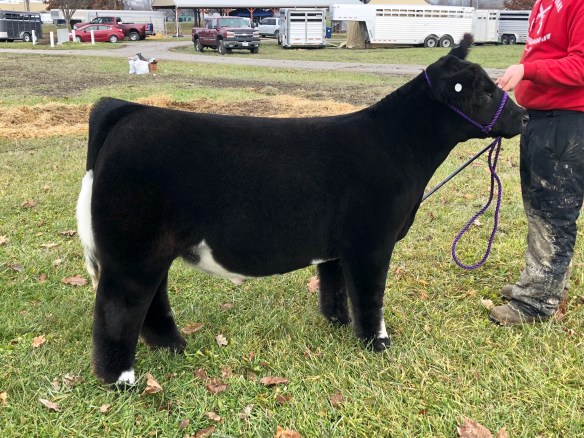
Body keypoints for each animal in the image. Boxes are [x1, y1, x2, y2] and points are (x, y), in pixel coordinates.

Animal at [76, 35, 528, 385]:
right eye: (485, 91)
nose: (524, 116)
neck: (396, 143)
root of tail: (127, 110)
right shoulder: (372, 240)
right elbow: (371, 294)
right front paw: (377, 342)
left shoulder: (338, 245)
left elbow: (336, 285)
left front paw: (339, 322)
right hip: (131, 250)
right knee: (119, 307)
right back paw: (121, 379)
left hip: (150, 250)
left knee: (152, 300)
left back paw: (174, 346)